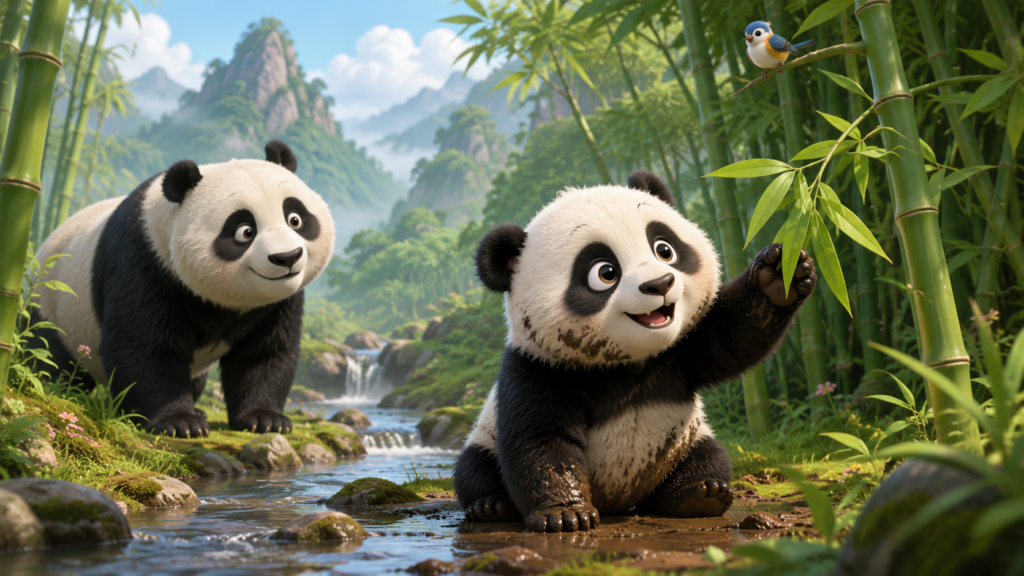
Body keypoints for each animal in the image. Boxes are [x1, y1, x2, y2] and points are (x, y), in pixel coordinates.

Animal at [31, 141, 335, 438]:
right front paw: (179, 423)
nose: (287, 257)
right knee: (48, 355)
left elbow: (263, 353)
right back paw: (67, 390)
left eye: (295, 219)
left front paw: (264, 419)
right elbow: (145, 345)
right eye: (245, 232)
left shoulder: (276, 302)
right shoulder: (146, 262)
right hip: (54, 304)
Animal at [453, 170, 816, 532]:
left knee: (709, 457)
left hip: (686, 443)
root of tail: (619, 501)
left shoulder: (680, 352)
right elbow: (541, 439)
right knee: (473, 469)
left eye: (664, 250)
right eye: (605, 273)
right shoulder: (539, 366)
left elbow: (733, 336)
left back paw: (699, 494)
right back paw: (490, 507)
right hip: (483, 437)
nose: (659, 284)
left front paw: (777, 276)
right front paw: (566, 513)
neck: (628, 361)